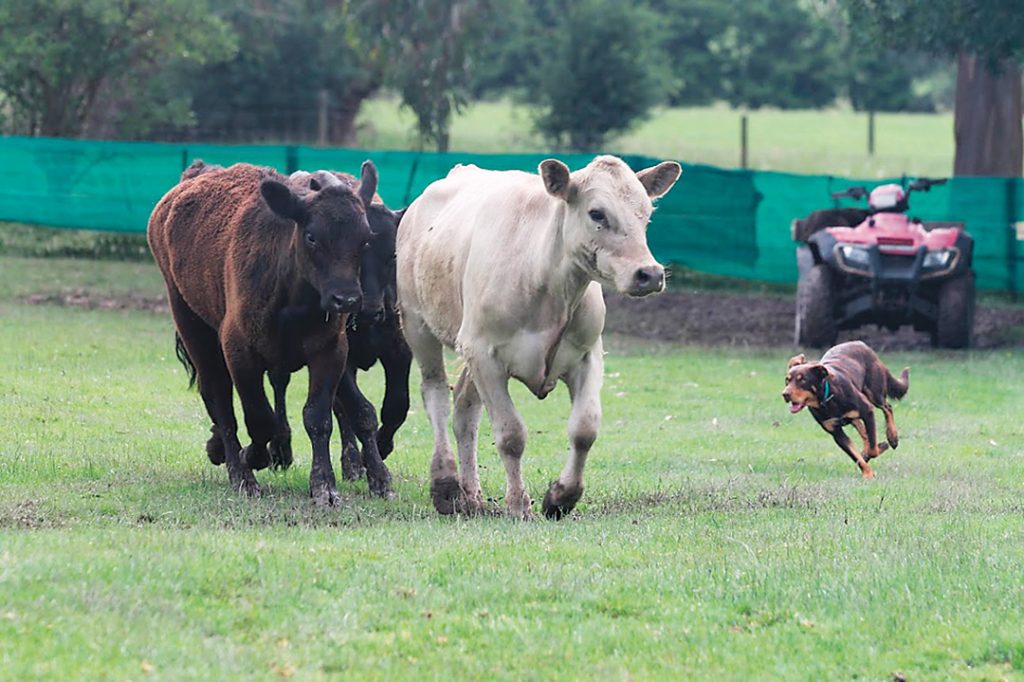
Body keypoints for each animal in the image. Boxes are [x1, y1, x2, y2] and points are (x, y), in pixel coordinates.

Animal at [148, 157, 376, 499]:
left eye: (365, 238)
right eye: (312, 236)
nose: (346, 299)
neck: (293, 301)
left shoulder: (331, 351)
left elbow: (317, 417)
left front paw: (324, 486)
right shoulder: (238, 350)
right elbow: (259, 418)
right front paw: (251, 458)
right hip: (191, 323)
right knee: (218, 397)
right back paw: (239, 471)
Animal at [397, 152, 679, 516]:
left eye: (646, 213)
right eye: (597, 213)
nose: (649, 273)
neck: (547, 284)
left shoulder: (587, 354)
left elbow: (585, 429)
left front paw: (562, 496)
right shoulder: (484, 354)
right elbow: (511, 435)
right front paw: (519, 504)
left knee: (464, 409)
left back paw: (471, 494)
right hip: (418, 325)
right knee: (436, 397)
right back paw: (445, 484)